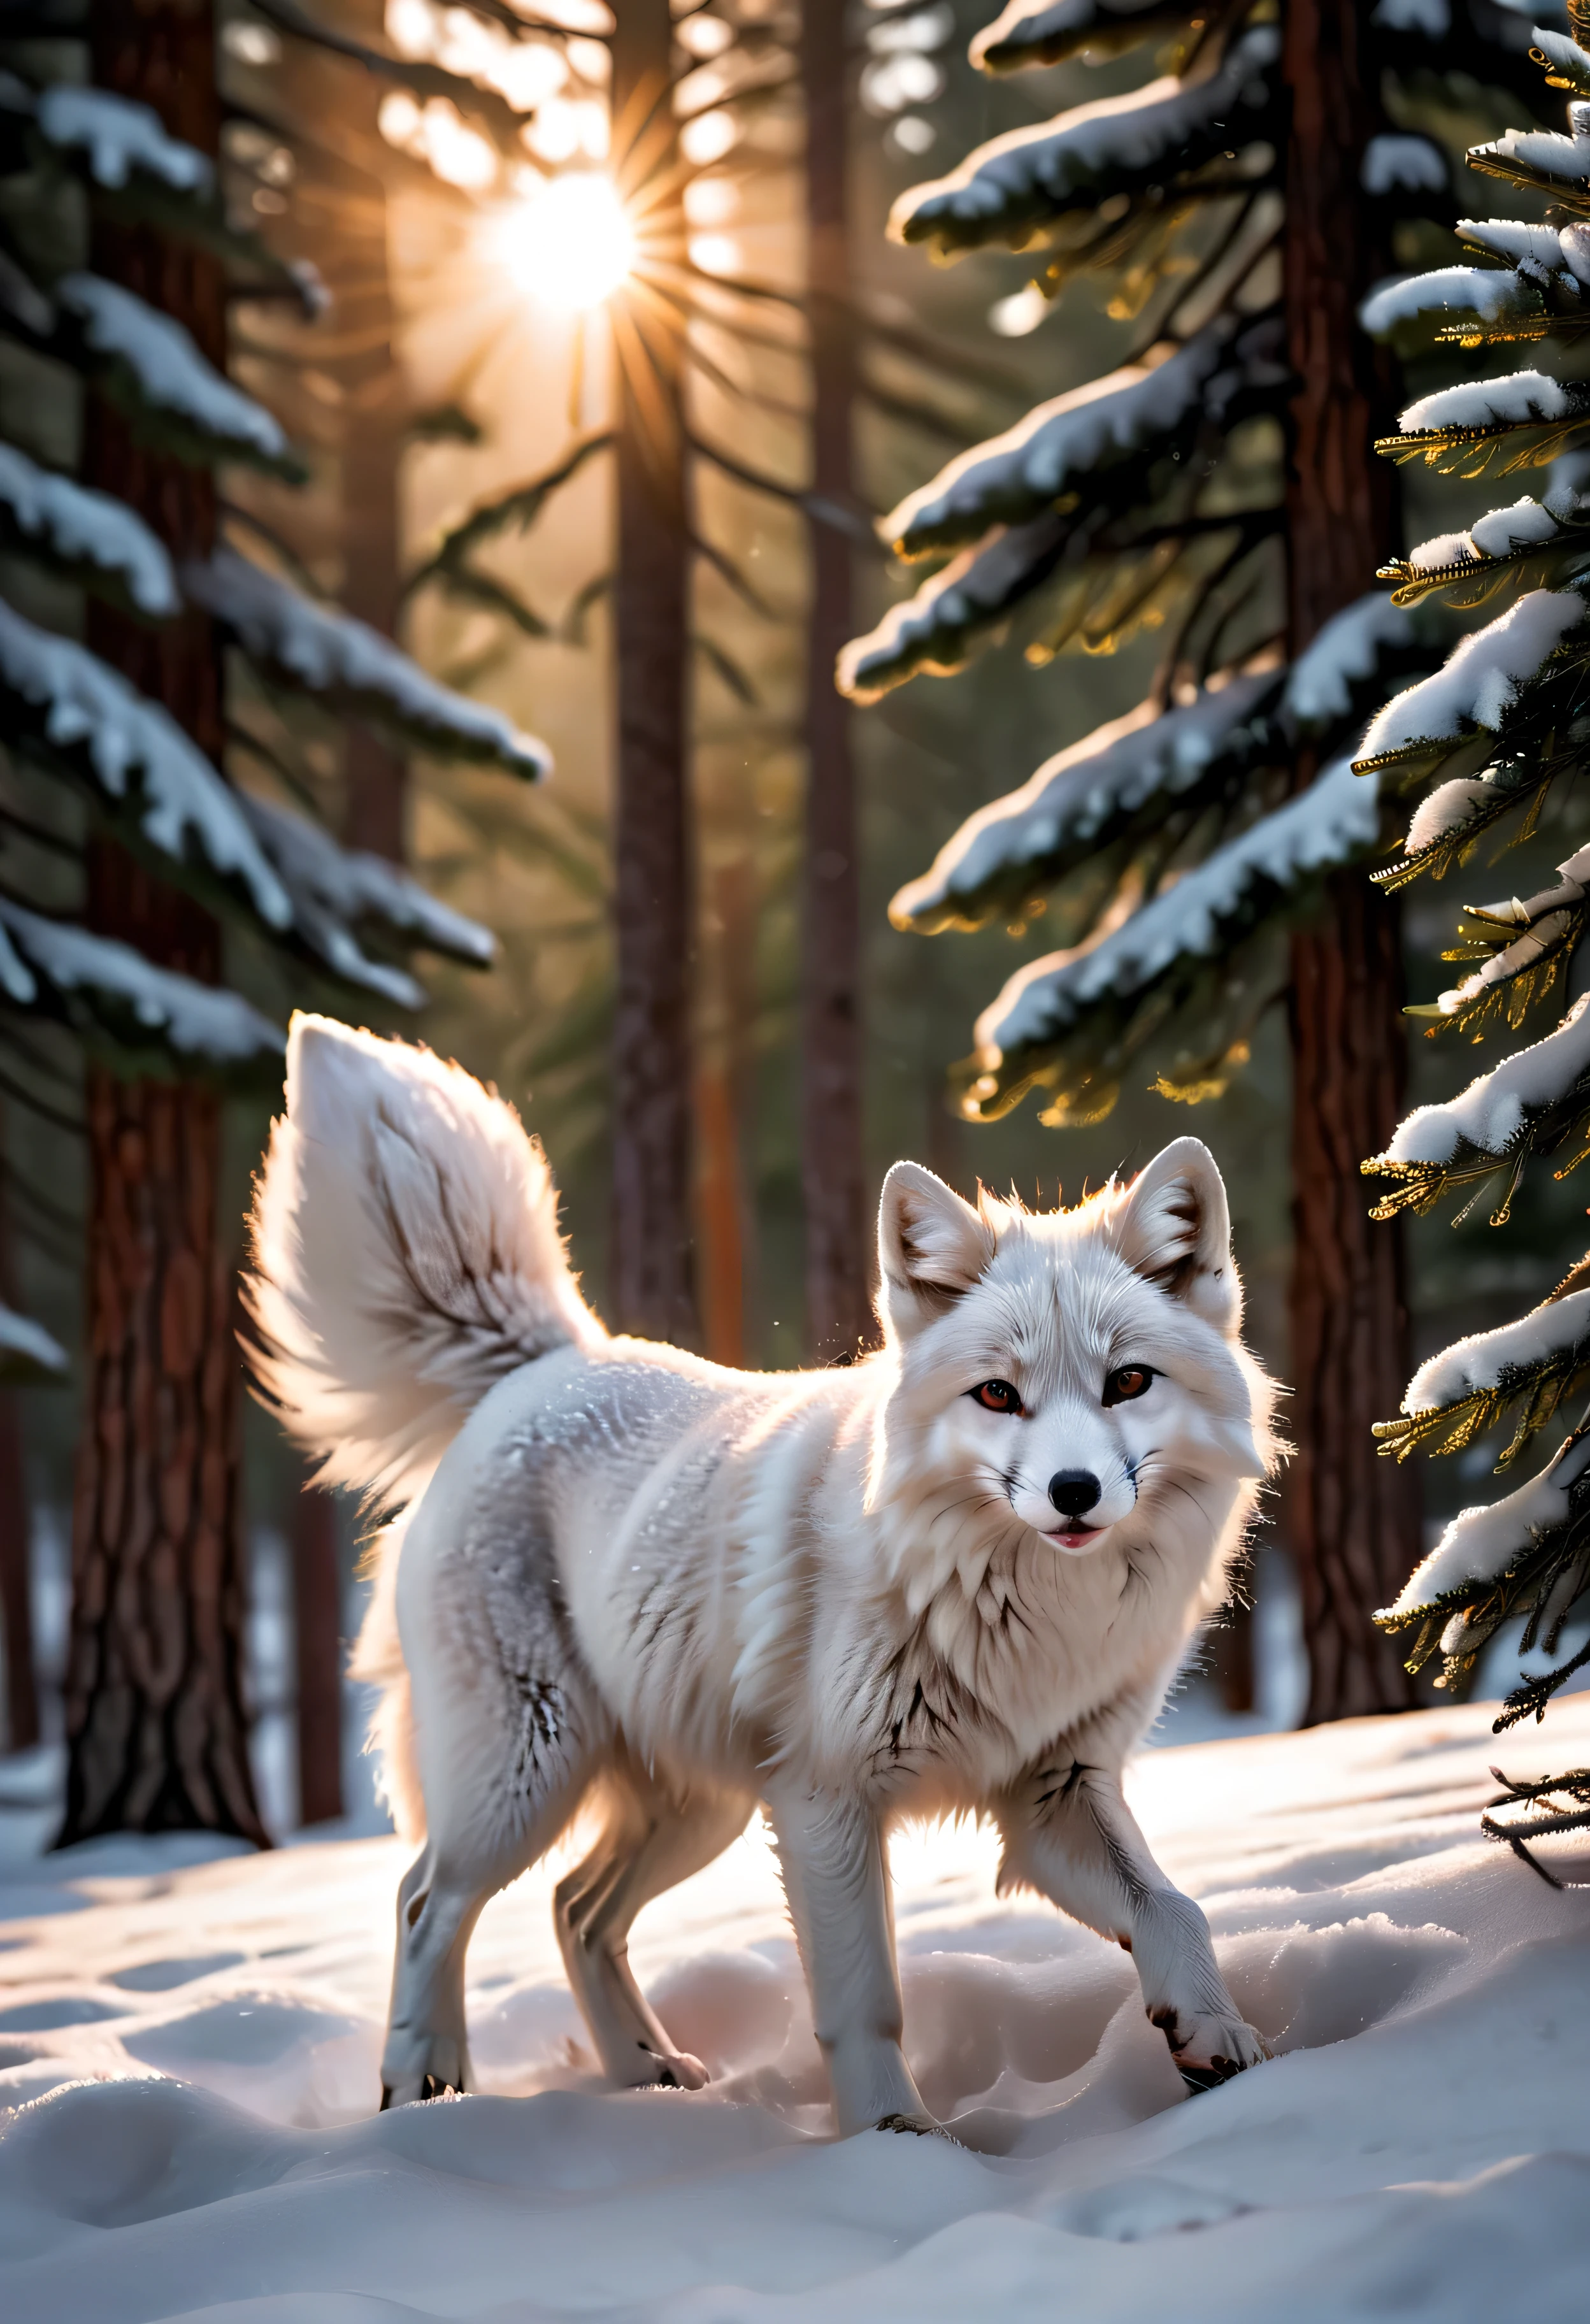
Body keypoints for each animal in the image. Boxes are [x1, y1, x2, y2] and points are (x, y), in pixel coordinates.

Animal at [248, 1008, 1283, 2128]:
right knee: (425, 1900)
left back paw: (646, 2072)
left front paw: (1216, 2038)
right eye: (999, 1395)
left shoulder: (1053, 1793)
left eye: (1127, 1382)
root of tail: (550, 1362)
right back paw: (421, 2088)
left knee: (574, 1910)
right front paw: (896, 2139)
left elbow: (1173, 1906)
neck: (1021, 1610)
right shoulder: (826, 1804)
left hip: (698, 1806)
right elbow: (866, 2000)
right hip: (524, 1781)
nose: (1075, 1491)